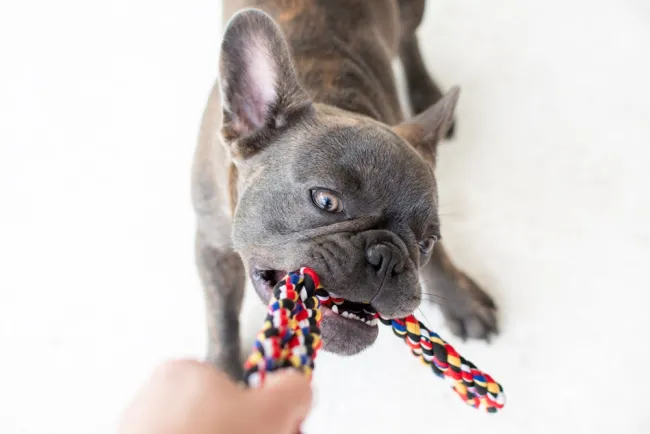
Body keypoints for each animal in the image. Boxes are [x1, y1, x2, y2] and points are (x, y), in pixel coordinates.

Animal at [191, 0, 496, 380]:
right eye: (326, 201)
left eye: (426, 242)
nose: (389, 256)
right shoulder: (211, 245)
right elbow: (221, 317)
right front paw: (221, 376)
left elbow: (440, 266)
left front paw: (463, 302)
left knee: (408, 41)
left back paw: (426, 91)